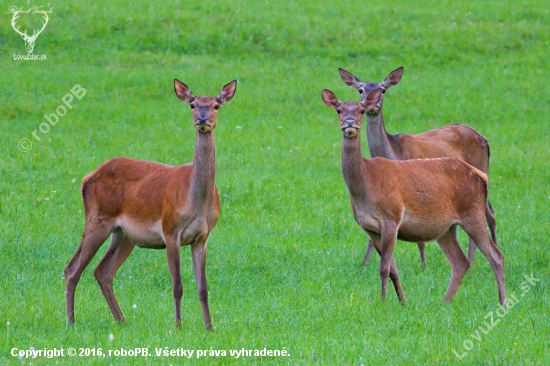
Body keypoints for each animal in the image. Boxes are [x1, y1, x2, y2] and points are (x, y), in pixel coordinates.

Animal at [64, 78, 237, 330]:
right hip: (98, 218)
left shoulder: (202, 238)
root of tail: (87, 178)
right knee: (72, 269)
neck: (196, 203)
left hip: (124, 234)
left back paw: (122, 320)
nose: (202, 120)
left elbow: (203, 289)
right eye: (193, 105)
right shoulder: (170, 230)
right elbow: (177, 286)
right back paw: (71, 321)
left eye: (216, 105)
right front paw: (178, 326)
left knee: (102, 271)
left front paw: (209, 328)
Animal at [324, 88, 508, 306]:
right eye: (339, 110)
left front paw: (383, 301)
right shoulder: (369, 228)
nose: (350, 123)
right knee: (460, 262)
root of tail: (482, 176)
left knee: (496, 255)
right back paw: (444, 302)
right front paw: (402, 302)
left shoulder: (391, 218)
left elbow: (384, 268)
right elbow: (392, 269)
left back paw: (503, 301)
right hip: (445, 227)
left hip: (472, 212)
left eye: (361, 110)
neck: (366, 186)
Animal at [338, 66, 498, 268]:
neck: (394, 151)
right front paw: (364, 265)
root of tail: (485, 140)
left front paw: (423, 266)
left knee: (489, 213)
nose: (372, 105)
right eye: (360, 89)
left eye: (383, 90)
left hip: (482, 169)